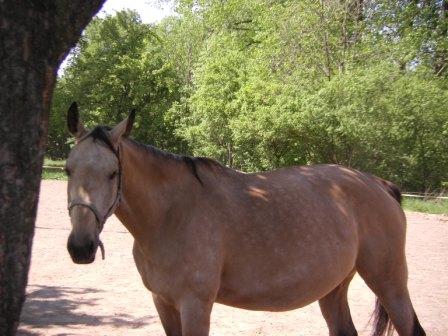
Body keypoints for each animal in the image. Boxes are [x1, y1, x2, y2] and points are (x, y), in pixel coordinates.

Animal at [65, 103, 426, 336]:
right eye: (68, 169)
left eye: (113, 174)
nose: (81, 247)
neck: (172, 215)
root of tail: (379, 184)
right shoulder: (163, 302)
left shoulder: (195, 305)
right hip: (334, 288)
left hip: (389, 281)